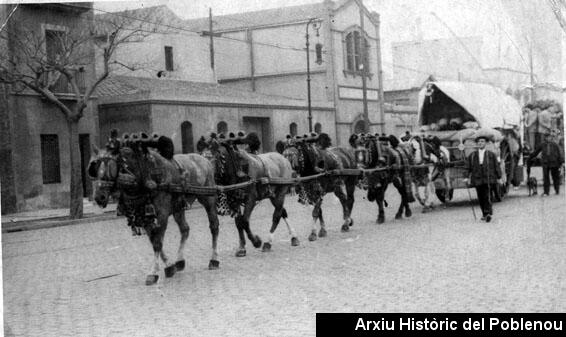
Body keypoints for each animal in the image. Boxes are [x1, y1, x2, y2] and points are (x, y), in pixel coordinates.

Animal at [90, 133, 221, 284]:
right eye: (94, 168)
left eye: (110, 167)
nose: (99, 197)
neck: (143, 175)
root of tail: (204, 160)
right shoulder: (143, 216)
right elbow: (154, 240)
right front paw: (169, 266)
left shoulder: (162, 214)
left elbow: (158, 242)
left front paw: (153, 272)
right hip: (178, 206)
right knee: (185, 229)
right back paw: (180, 261)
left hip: (208, 198)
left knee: (214, 226)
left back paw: (214, 259)